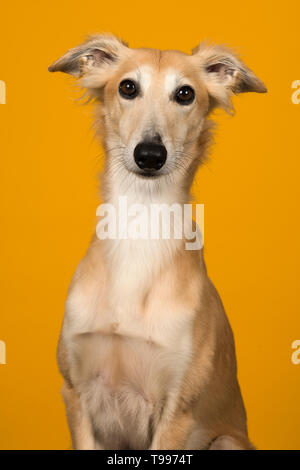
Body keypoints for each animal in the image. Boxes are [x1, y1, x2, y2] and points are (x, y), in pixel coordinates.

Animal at [49, 35, 268, 450]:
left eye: (185, 93)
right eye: (127, 87)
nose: (150, 155)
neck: (140, 225)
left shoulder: (177, 410)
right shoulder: (75, 393)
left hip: (226, 440)